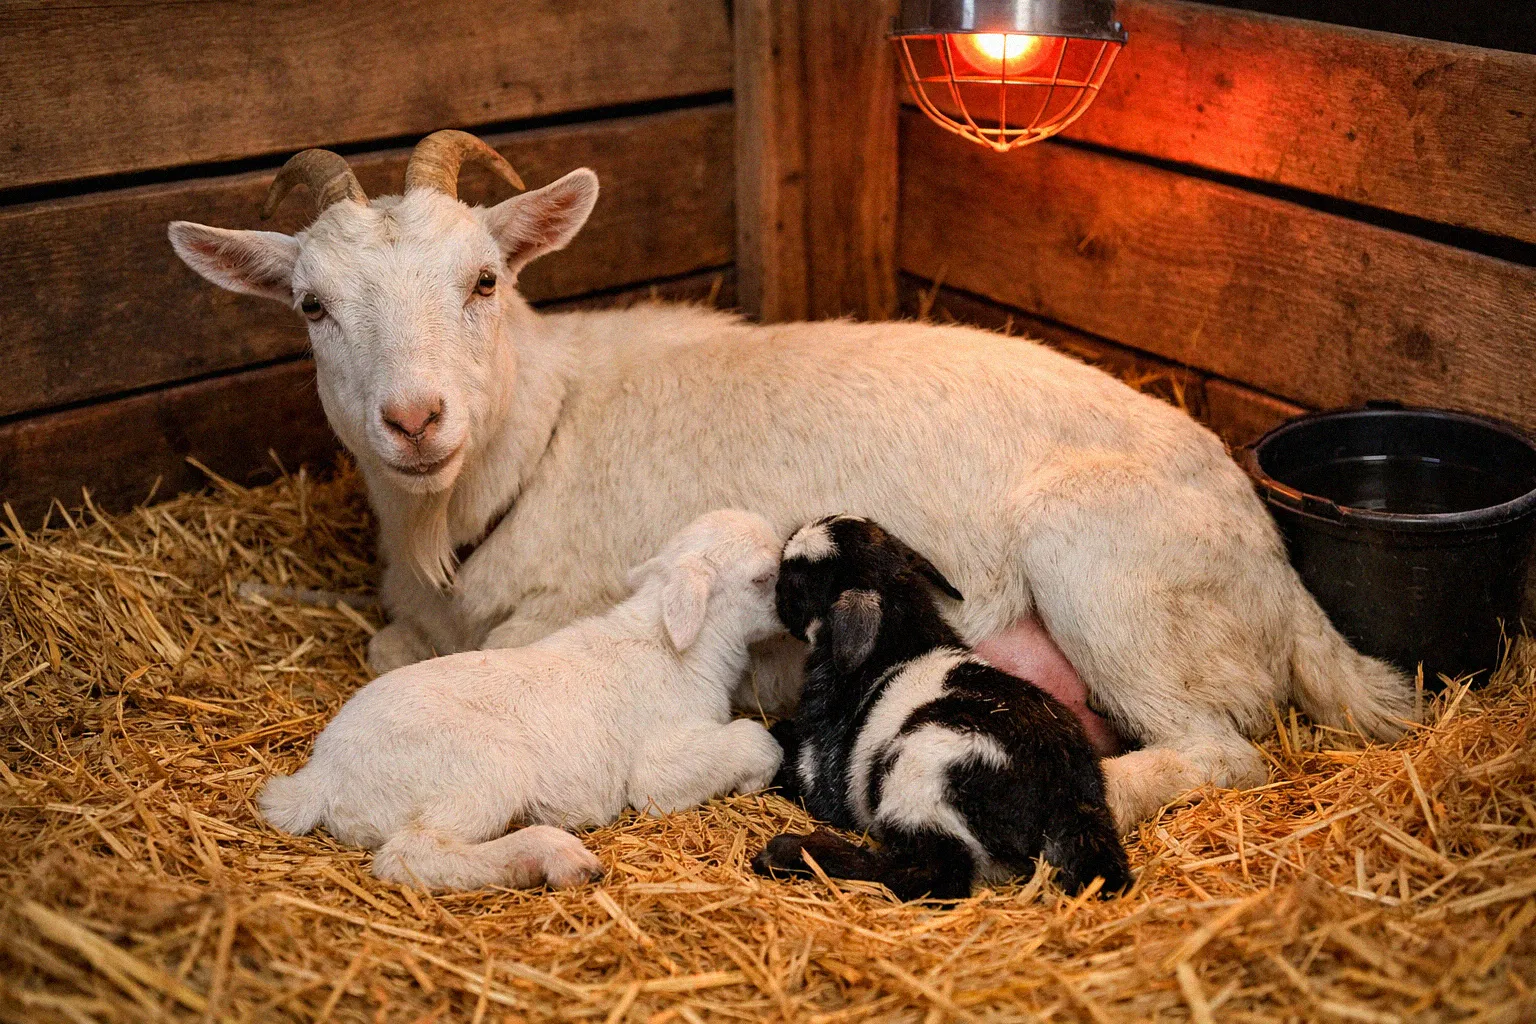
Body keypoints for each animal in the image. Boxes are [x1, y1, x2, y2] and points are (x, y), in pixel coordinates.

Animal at [170, 130, 1414, 830]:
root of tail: (1281, 579)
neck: (539, 434)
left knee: (1218, 749)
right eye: (311, 305)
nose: (415, 419)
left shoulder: (560, 615)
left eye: (484, 279)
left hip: (1112, 580)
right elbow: (384, 643)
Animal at [256, 509, 785, 889]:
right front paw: (755, 777)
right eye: (764, 577)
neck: (675, 646)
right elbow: (749, 739)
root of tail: (322, 779)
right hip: (479, 767)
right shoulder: (657, 766)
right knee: (413, 854)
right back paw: (549, 858)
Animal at [752, 515, 1129, 902]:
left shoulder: (817, 771)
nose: (774, 587)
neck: (899, 642)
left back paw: (789, 852)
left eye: (797, 580)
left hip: (922, 782)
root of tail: (1066, 799)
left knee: (932, 874)